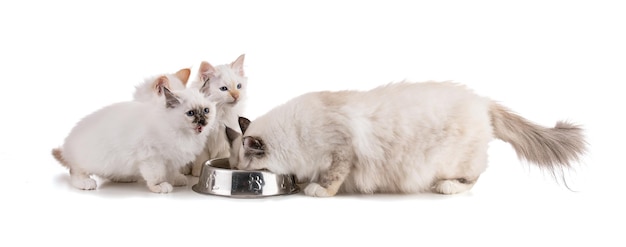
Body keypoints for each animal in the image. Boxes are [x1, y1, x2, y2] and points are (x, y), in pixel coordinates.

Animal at [51, 75, 217, 193]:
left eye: (206, 111)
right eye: (190, 113)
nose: (202, 122)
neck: (182, 133)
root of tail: (67, 145)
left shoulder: (172, 158)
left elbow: (172, 171)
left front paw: (176, 179)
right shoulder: (151, 157)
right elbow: (157, 175)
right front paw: (159, 186)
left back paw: (125, 178)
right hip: (88, 161)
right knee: (74, 171)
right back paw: (85, 182)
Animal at [224, 81, 584, 197]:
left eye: (243, 168)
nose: (239, 173)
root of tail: (483, 102)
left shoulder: (341, 150)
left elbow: (332, 178)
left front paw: (317, 190)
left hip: (454, 160)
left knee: (475, 176)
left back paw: (446, 187)